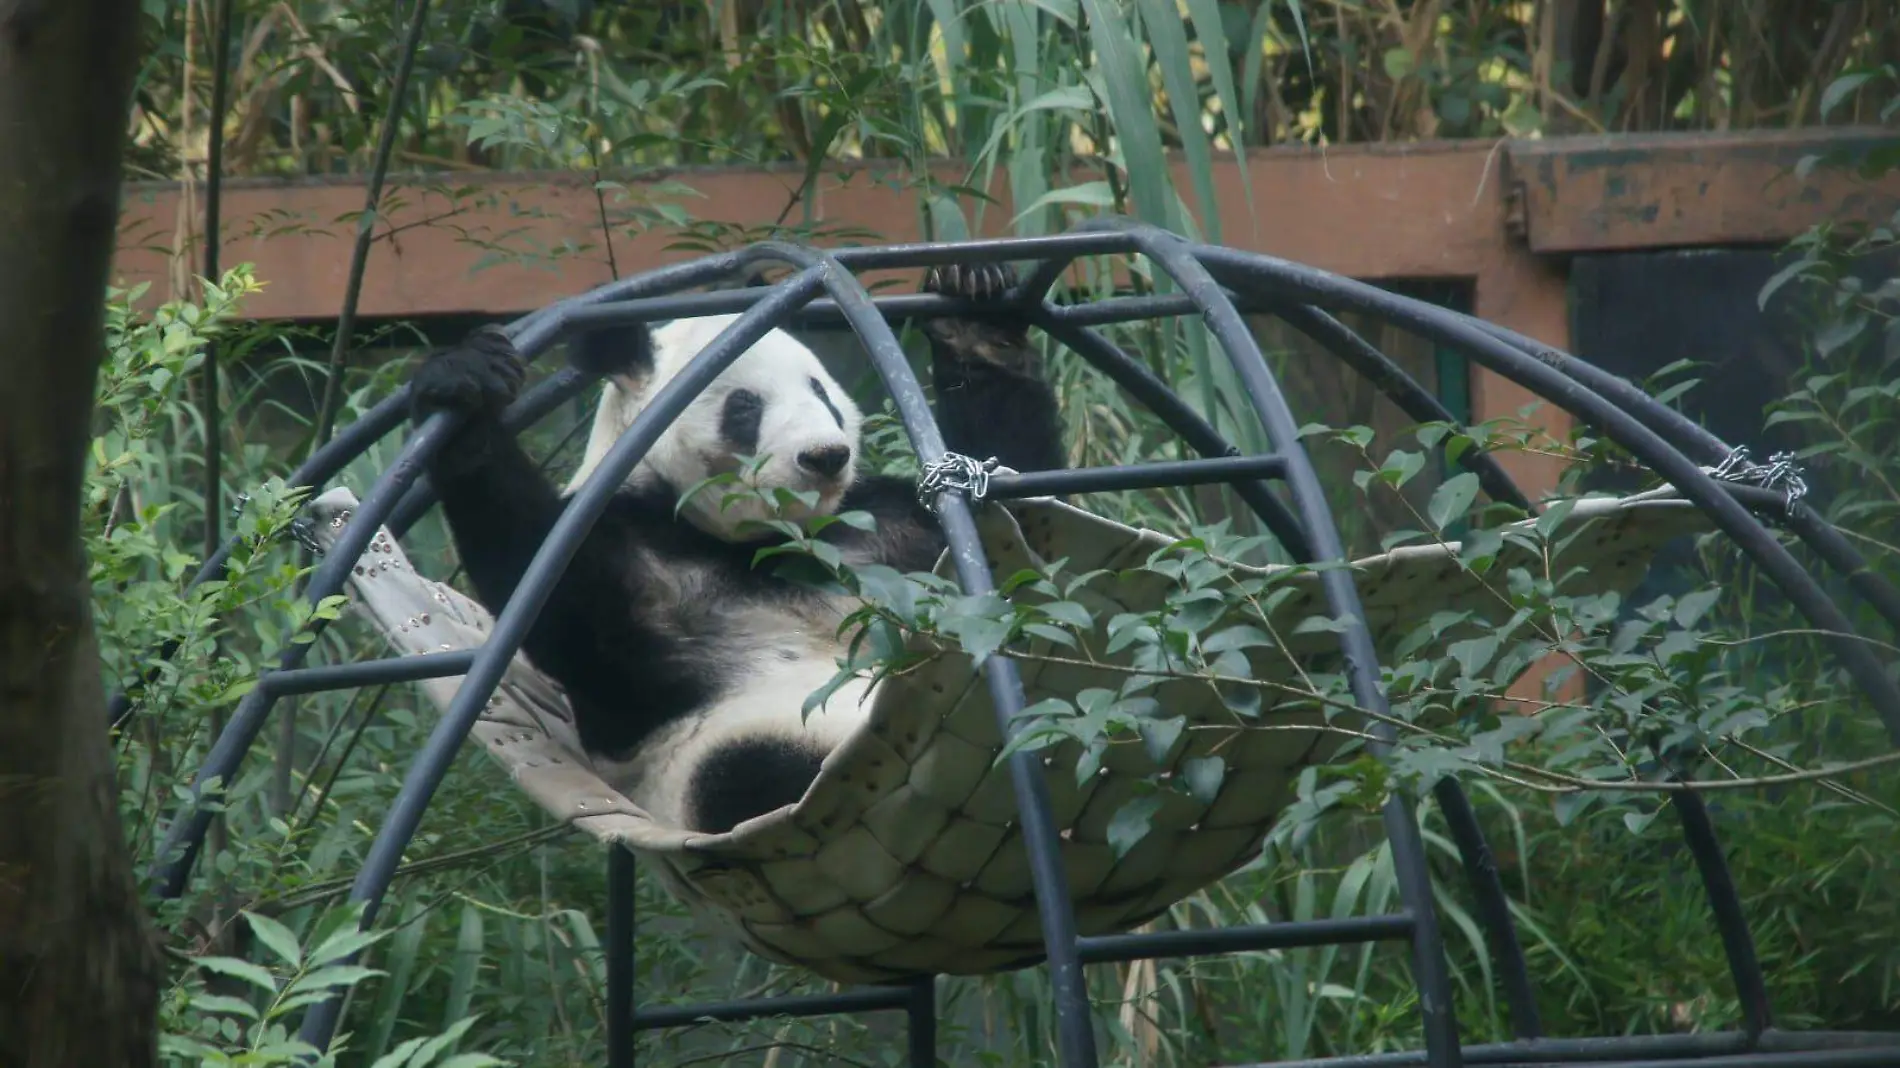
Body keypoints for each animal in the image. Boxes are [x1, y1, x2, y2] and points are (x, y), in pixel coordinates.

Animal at [412, 262, 1071, 836]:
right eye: (745, 406)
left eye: (821, 392)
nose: (825, 456)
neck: (756, 543)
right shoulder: (627, 550)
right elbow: (556, 604)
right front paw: (465, 387)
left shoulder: (881, 531)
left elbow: (1024, 514)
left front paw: (974, 306)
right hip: (730, 755)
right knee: (755, 775)